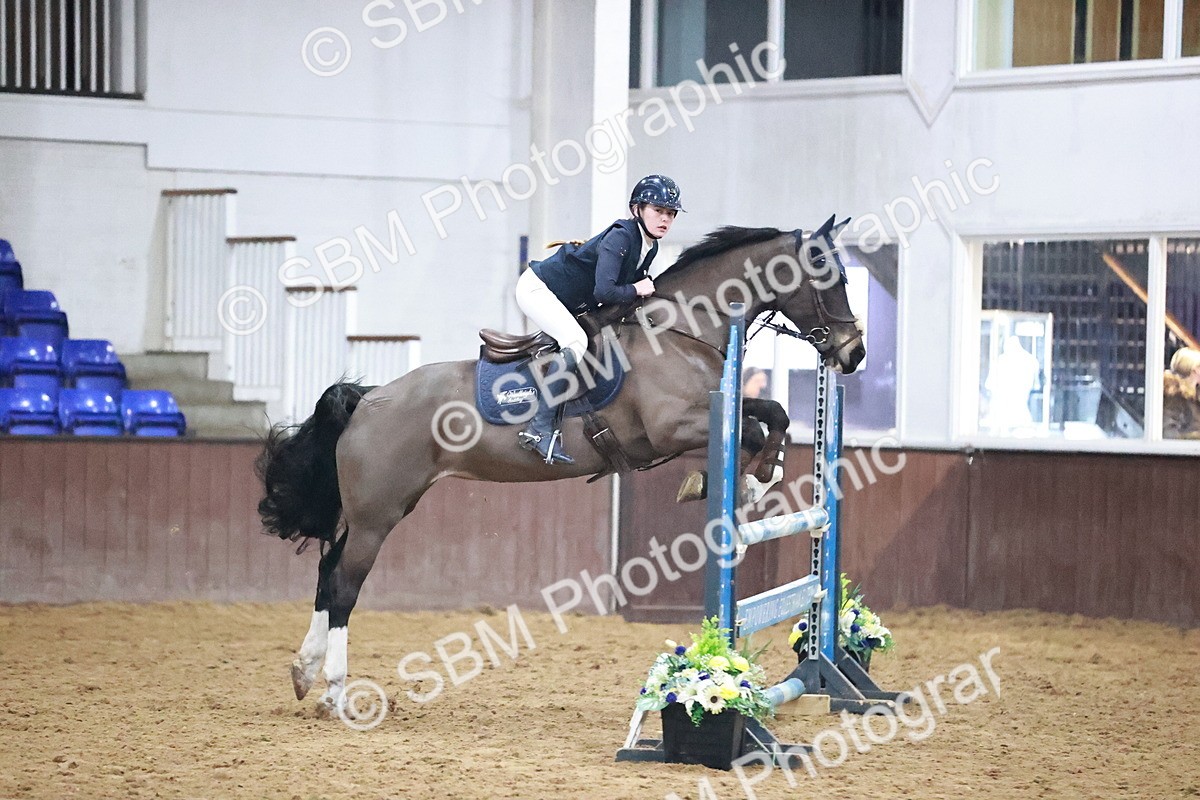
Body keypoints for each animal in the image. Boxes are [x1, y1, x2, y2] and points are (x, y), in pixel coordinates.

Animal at [256, 216, 865, 710]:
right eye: (826, 274)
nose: (854, 352)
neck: (681, 330)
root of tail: (368, 400)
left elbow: (773, 414)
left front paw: (756, 477)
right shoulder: (672, 427)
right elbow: (755, 426)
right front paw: (741, 482)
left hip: (383, 508)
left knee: (327, 572)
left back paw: (303, 674)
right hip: (376, 516)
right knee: (344, 585)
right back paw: (334, 691)